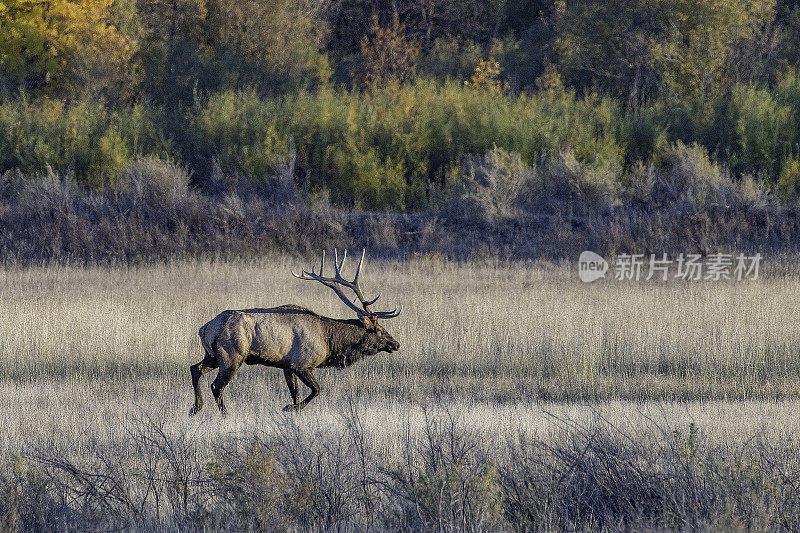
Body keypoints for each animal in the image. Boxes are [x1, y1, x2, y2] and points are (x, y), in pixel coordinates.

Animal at [188, 249, 400, 416]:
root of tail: (204, 328)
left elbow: (295, 393)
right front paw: (289, 408)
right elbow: (316, 390)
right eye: (378, 330)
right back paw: (224, 413)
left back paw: (195, 408)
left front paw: (292, 410)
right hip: (232, 355)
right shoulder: (302, 364)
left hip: (213, 355)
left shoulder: (287, 366)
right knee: (216, 385)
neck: (329, 342)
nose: (395, 344)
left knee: (195, 368)